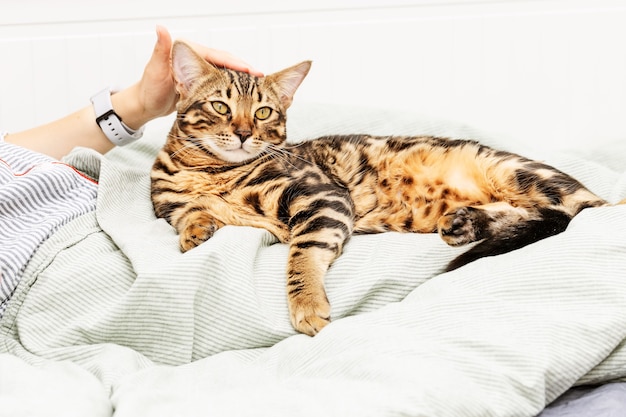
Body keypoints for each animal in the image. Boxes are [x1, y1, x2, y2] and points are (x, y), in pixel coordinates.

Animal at [150, 41, 604, 334]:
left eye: (263, 113)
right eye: (220, 106)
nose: (245, 134)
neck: (211, 172)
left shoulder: (323, 196)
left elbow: (302, 255)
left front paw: (308, 304)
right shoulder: (166, 203)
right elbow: (187, 212)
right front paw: (196, 229)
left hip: (519, 174)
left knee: (577, 211)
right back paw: (464, 222)